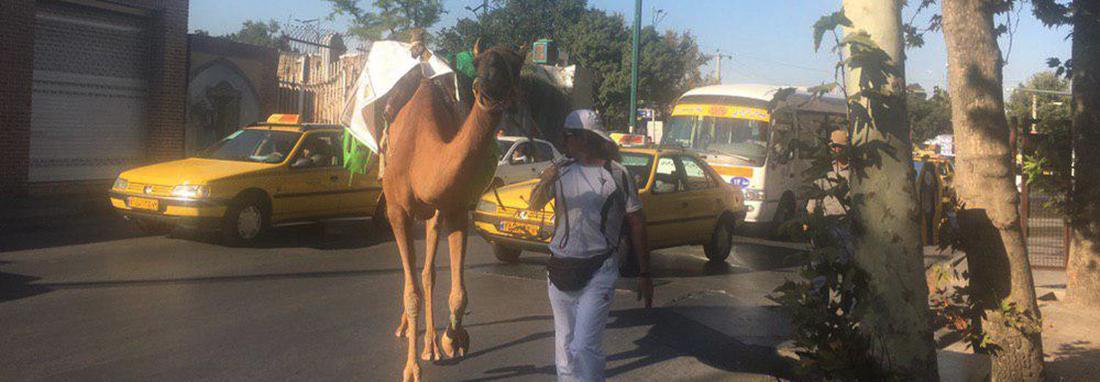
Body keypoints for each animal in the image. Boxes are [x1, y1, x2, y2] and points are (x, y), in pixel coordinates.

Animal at [382, 41, 528, 382]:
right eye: (479, 61)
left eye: (515, 65)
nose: (484, 86)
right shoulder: (397, 211)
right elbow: (411, 291)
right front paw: (411, 369)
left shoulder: (456, 209)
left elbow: (457, 292)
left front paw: (452, 339)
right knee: (415, 278)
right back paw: (408, 332)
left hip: (434, 214)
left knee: (428, 273)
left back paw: (431, 345)